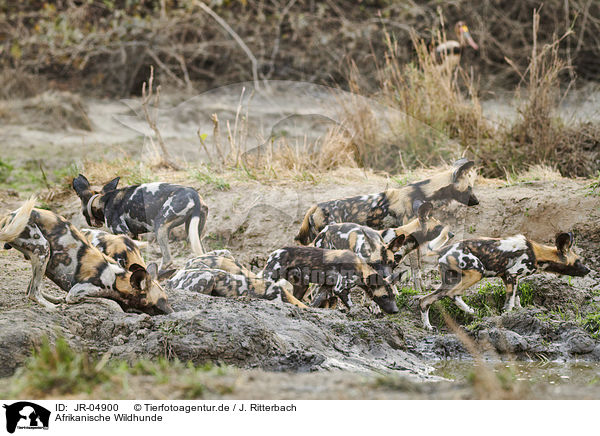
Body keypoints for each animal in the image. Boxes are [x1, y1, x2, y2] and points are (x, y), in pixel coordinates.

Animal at [0, 199, 173, 316]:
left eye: (167, 299)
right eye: (161, 302)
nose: (172, 312)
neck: (117, 280)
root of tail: (9, 215)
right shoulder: (76, 294)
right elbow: (111, 303)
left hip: (42, 256)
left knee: (30, 289)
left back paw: (54, 300)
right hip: (43, 249)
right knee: (32, 293)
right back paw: (53, 307)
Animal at [72, 174, 210, 272]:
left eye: (83, 212)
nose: (90, 223)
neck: (102, 200)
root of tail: (194, 194)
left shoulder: (123, 233)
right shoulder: (134, 236)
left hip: (160, 227)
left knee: (167, 260)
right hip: (193, 233)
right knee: (203, 254)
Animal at [262, 245, 398, 314]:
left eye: (394, 296)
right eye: (384, 296)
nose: (396, 311)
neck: (360, 268)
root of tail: (274, 252)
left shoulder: (326, 288)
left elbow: (314, 303)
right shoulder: (340, 289)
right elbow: (351, 305)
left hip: (301, 285)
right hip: (271, 276)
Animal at [420, 232, 592, 330]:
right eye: (578, 261)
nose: (588, 270)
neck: (537, 254)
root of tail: (443, 249)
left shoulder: (509, 277)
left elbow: (516, 298)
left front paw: (522, 311)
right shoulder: (512, 275)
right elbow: (509, 302)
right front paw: (508, 317)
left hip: (450, 280)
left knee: (425, 300)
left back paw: (428, 327)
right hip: (477, 272)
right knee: (453, 294)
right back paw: (472, 312)